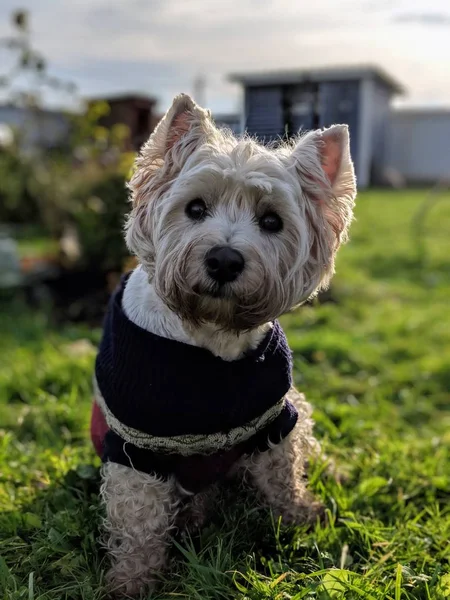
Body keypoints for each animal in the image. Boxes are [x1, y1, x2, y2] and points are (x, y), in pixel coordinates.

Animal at [89, 94, 356, 596]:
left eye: (271, 221)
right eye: (195, 208)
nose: (224, 260)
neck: (210, 337)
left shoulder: (275, 419)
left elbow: (283, 477)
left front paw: (300, 519)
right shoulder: (135, 447)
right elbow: (138, 521)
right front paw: (133, 580)